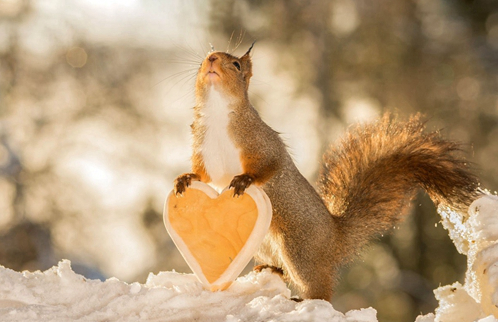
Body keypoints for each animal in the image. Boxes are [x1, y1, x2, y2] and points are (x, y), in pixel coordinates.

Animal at [173, 44, 480, 300]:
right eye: (204, 58)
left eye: (236, 65)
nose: (211, 59)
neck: (217, 114)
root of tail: (335, 239)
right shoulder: (204, 152)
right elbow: (204, 175)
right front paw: (185, 178)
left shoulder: (263, 143)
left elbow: (270, 166)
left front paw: (244, 180)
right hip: (264, 245)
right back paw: (270, 270)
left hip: (300, 250)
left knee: (319, 288)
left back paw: (305, 299)